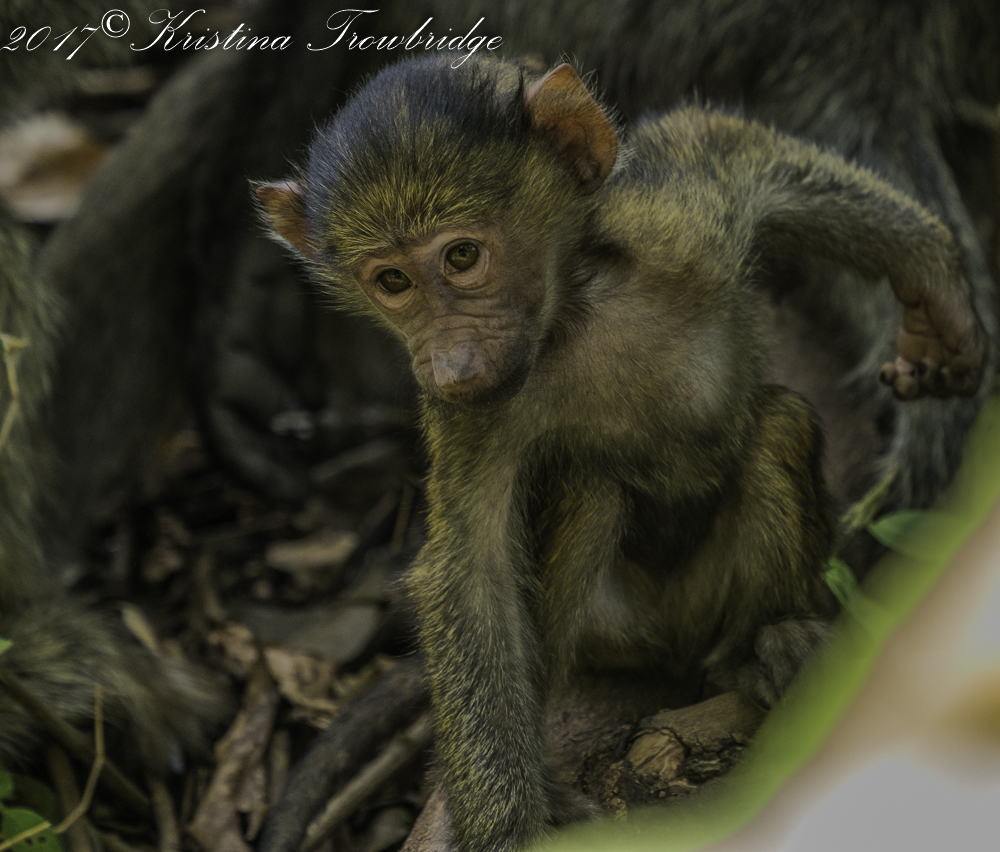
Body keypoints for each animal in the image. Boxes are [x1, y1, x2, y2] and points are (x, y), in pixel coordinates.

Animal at [257, 56, 984, 851]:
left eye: (462, 256)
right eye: (393, 282)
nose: (449, 363)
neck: (574, 314)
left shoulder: (682, 220)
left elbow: (728, 142)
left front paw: (933, 277)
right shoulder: (470, 413)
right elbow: (473, 570)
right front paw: (508, 821)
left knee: (778, 426)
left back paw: (765, 645)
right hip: (619, 627)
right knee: (594, 490)